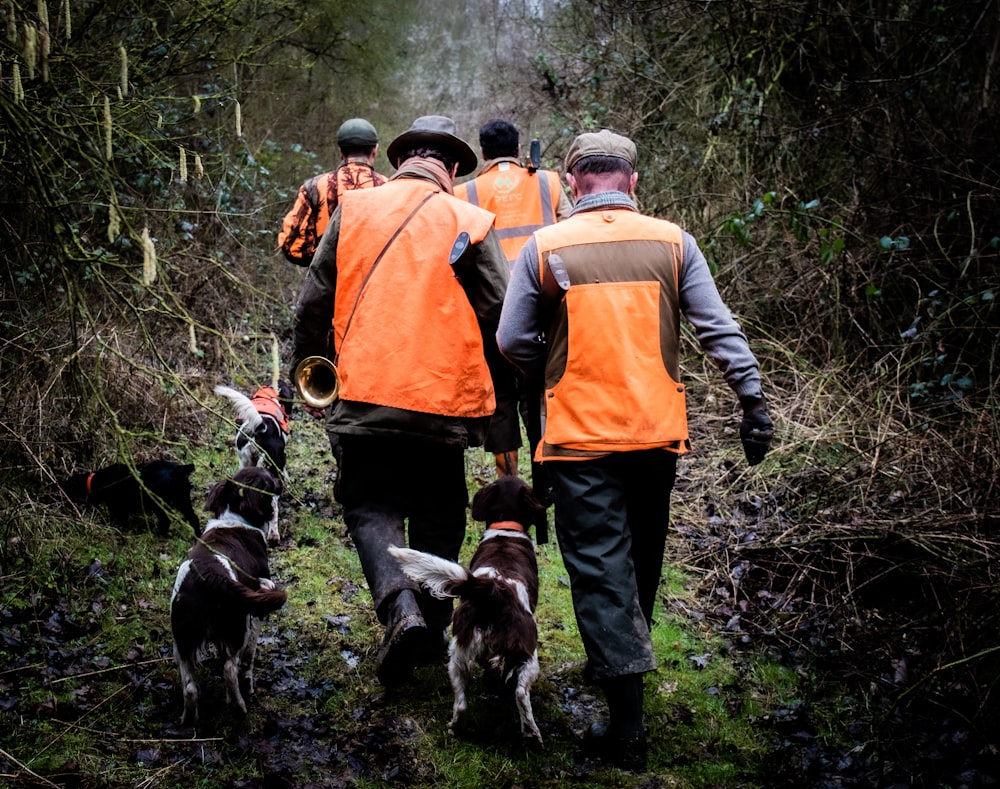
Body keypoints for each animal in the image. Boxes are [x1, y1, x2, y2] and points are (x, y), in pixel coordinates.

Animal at [60, 458, 199, 540]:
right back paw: (196, 537)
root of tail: (178, 469)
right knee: (194, 518)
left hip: (158, 503)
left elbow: (118, 520)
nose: (62, 501)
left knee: (166, 521)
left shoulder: (116, 506)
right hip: (183, 500)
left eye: (68, 490)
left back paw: (157, 534)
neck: (98, 482)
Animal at [170, 464, 288, 724]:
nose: (281, 482)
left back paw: (189, 720)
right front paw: (249, 685)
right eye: (269, 479)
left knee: (190, 687)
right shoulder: (255, 615)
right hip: (237, 625)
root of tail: (210, 576)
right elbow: (249, 657)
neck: (234, 518)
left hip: (182, 637)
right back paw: (238, 706)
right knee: (230, 670)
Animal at [388, 474, 548, 744]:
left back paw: (456, 727)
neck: (507, 528)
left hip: (458, 654)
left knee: (461, 704)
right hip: (527, 652)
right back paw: (532, 734)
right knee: (520, 694)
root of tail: (493, 590)